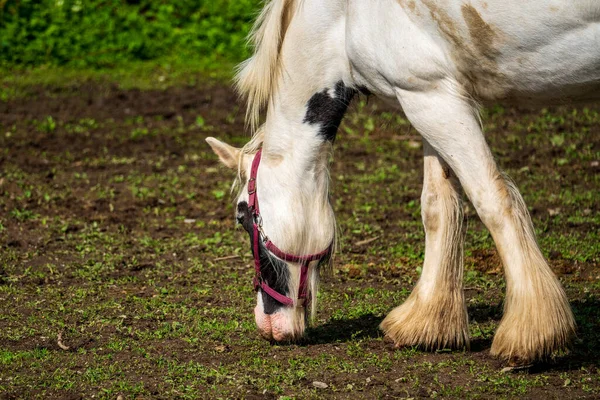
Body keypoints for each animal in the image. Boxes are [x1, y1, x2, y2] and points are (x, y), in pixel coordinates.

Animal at [207, 0, 600, 366]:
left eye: (243, 216)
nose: (267, 324)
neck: (344, 16)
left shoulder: (431, 95)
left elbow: (491, 199)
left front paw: (532, 334)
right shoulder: (428, 97)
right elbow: (438, 208)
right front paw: (427, 322)